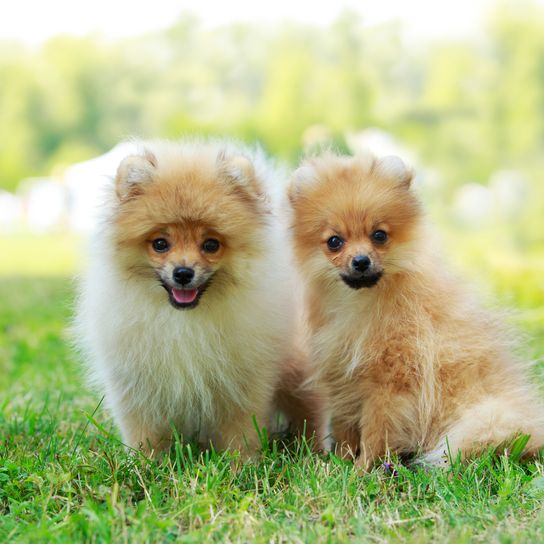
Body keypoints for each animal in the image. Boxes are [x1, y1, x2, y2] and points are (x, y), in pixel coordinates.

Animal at [74, 138, 320, 456]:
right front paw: (143, 462)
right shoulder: (136, 385)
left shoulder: (242, 383)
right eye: (160, 244)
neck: (184, 321)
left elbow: (240, 431)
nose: (182, 272)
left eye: (211, 244)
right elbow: (144, 432)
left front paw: (241, 463)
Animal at [288, 151, 544, 470]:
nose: (360, 261)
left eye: (379, 235)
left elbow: (376, 430)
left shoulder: (392, 381)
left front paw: (362, 470)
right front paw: (339, 465)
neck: (360, 303)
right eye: (335, 241)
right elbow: (346, 427)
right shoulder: (343, 372)